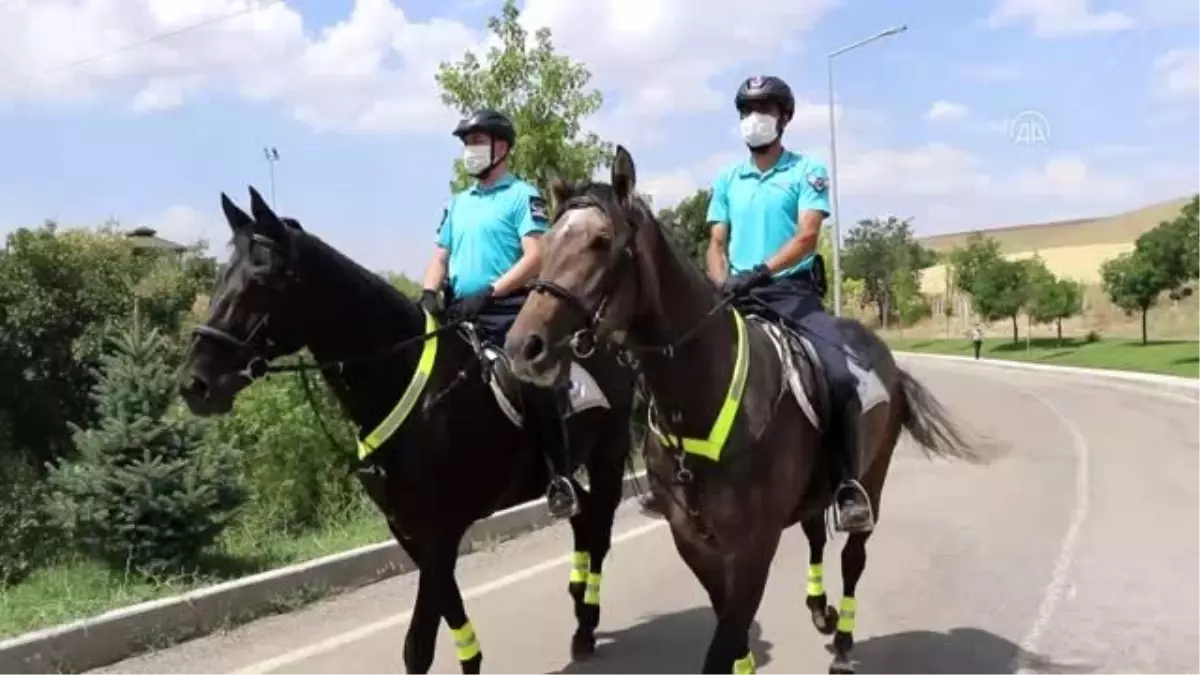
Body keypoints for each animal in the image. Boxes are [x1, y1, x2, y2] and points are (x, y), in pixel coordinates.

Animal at [176, 184, 638, 672]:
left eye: (263, 279)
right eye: (223, 275)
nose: (194, 383)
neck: (408, 381)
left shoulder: (441, 530)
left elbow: (419, 643)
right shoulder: (410, 529)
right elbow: (448, 611)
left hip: (608, 454)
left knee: (599, 529)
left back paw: (586, 626)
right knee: (585, 520)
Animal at [501, 147, 988, 672]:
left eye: (601, 240)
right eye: (546, 243)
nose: (523, 347)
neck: (696, 402)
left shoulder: (754, 545)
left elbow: (726, 636)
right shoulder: (694, 542)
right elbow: (727, 627)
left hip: (873, 478)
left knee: (853, 558)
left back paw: (842, 643)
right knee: (815, 532)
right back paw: (820, 609)